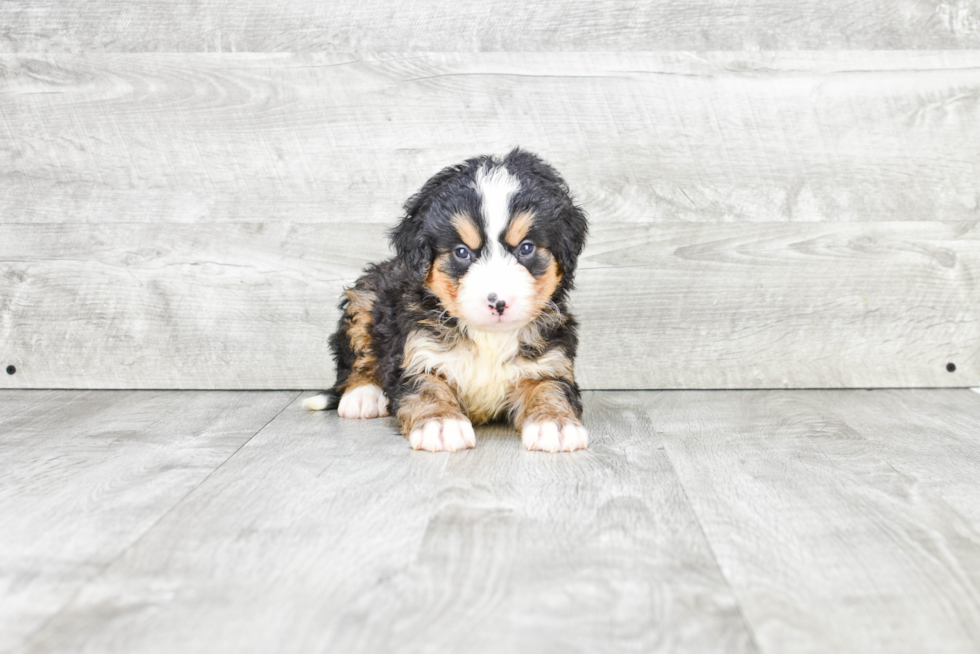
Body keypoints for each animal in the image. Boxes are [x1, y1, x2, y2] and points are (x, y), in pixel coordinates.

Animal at [304, 151, 588, 454]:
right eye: (462, 252)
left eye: (526, 248)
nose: (498, 302)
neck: (489, 338)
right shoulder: (418, 353)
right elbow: (426, 388)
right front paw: (440, 424)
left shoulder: (549, 359)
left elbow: (550, 387)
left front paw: (554, 423)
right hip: (365, 300)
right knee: (355, 359)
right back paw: (362, 395)